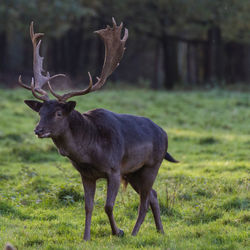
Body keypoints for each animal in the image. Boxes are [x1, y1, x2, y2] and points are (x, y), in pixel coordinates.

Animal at [18, 18, 178, 241]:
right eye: (40, 112)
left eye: (58, 114)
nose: (38, 130)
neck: (89, 152)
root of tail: (164, 133)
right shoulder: (86, 175)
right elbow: (88, 206)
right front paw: (85, 237)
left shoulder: (114, 169)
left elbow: (108, 206)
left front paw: (118, 231)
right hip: (134, 171)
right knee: (153, 196)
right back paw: (160, 231)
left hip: (152, 165)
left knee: (145, 202)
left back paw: (134, 232)